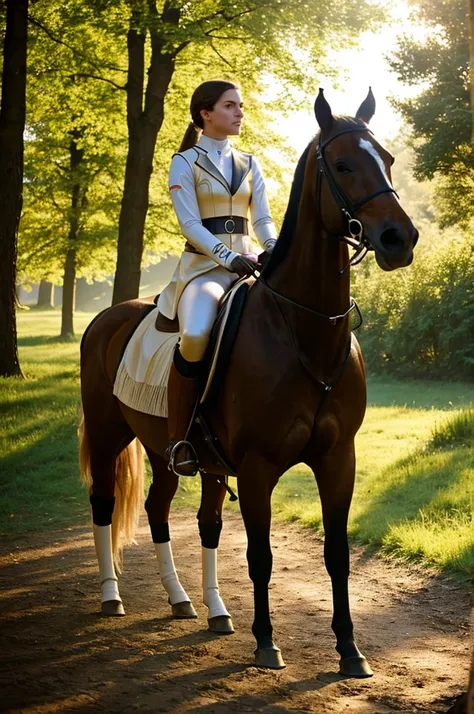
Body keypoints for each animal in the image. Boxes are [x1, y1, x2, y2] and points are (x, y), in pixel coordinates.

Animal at [80, 87, 418, 672]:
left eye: (389, 159)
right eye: (343, 165)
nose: (401, 237)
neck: (304, 331)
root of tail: (109, 316)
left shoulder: (339, 460)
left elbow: (337, 554)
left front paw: (350, 650)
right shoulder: (259, 467)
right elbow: (260, 556)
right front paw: (266, 643)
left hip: (173, 451)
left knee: (174, 514)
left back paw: (196, 605)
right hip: (107, 434)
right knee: (105, 504)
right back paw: (111, 597)